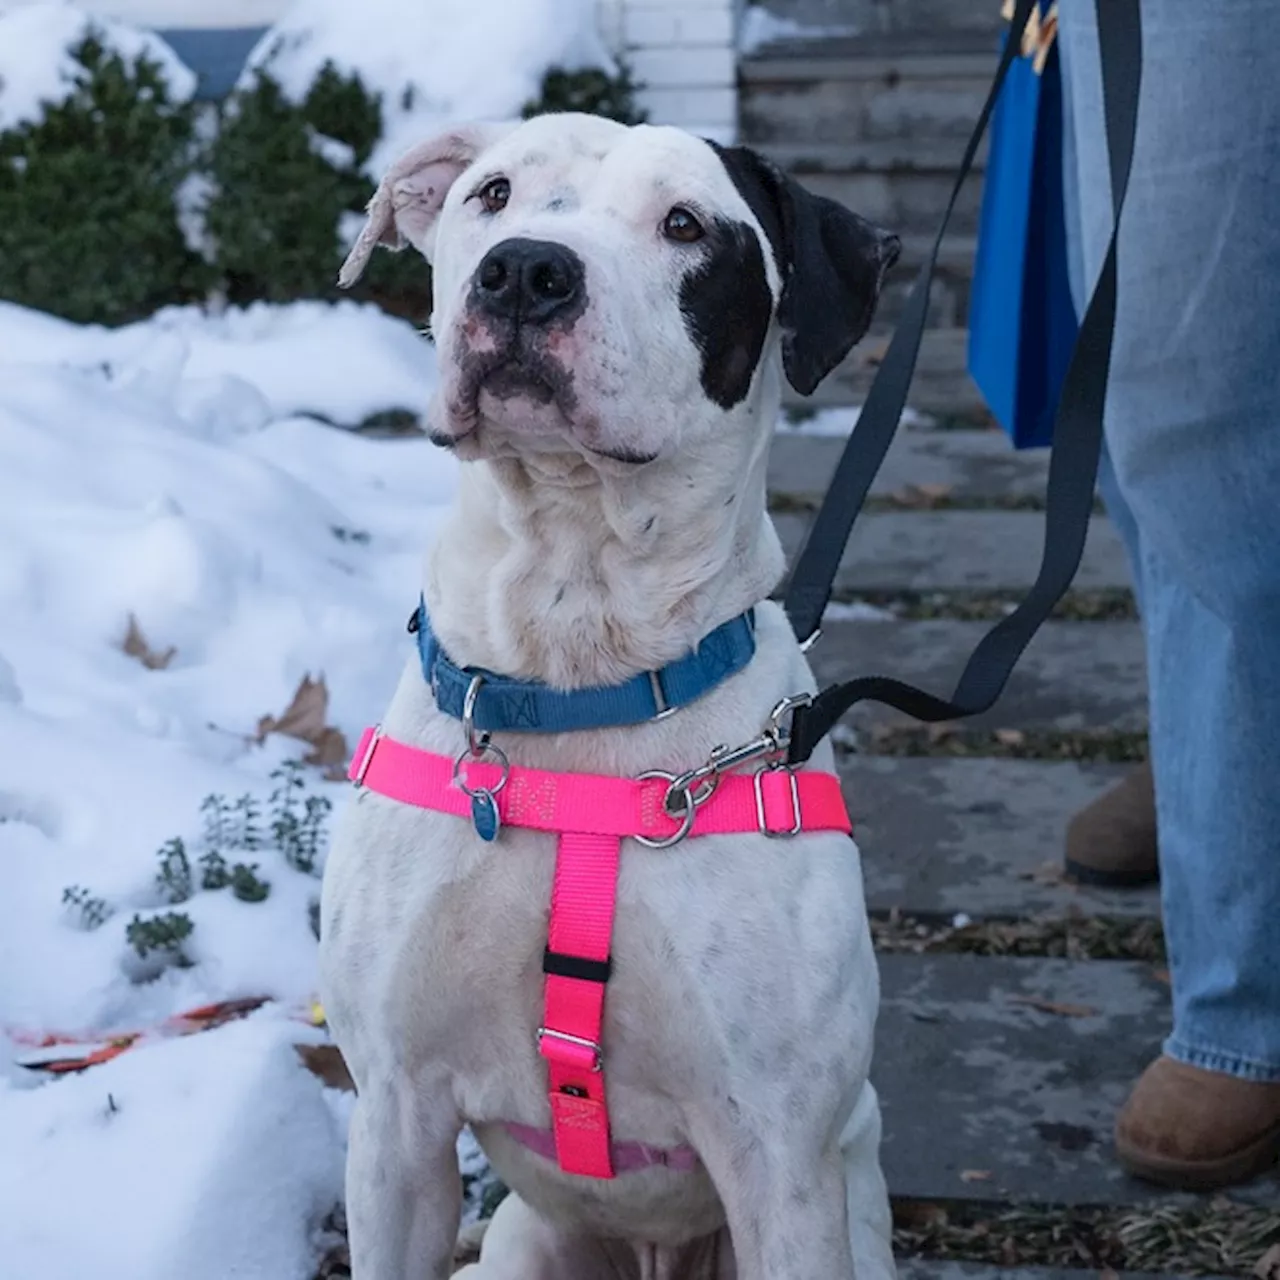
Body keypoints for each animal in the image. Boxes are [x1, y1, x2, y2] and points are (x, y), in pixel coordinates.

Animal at [320, 112, 901, 1280]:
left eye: (684, 225)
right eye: (492, 194)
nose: (524, 273)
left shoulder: (781, 1156)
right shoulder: (395, 1118)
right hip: (523, 1238)